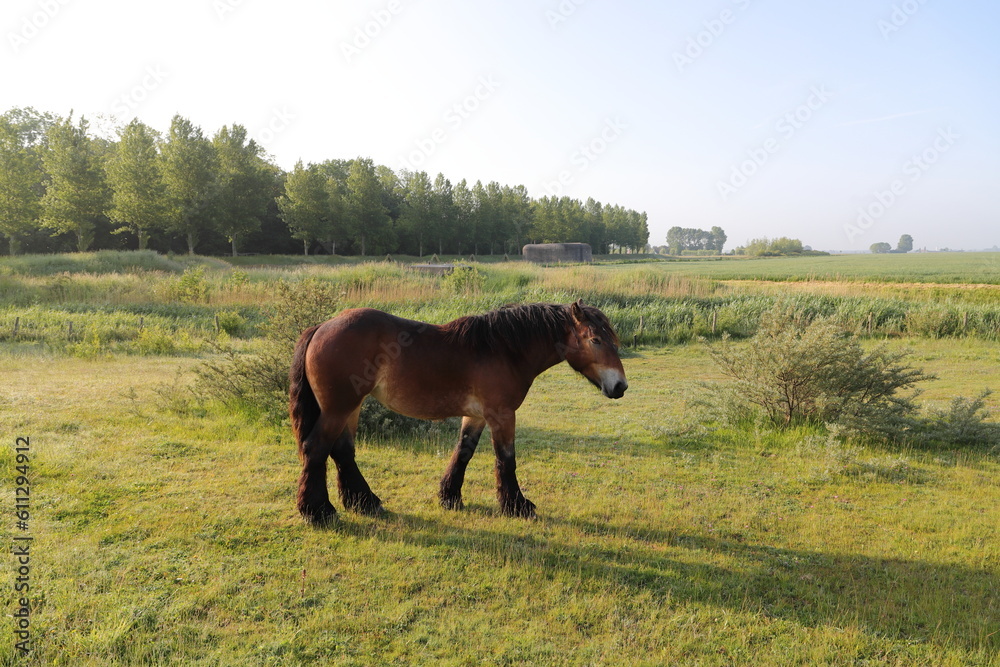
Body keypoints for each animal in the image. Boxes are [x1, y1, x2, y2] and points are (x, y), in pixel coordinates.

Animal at [289, 300, 628, 525]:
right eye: (596, 340)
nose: (620, 386)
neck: (503, 350)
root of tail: (321, 327)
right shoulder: (502, 414)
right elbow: (506, 459)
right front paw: (516, 506)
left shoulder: (476, 415)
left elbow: (463, 452)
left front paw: (449, 497)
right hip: (339, 408)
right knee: (317, 448)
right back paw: (318, 511)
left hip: (351, 407)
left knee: (342, 450)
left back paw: (364, 503)